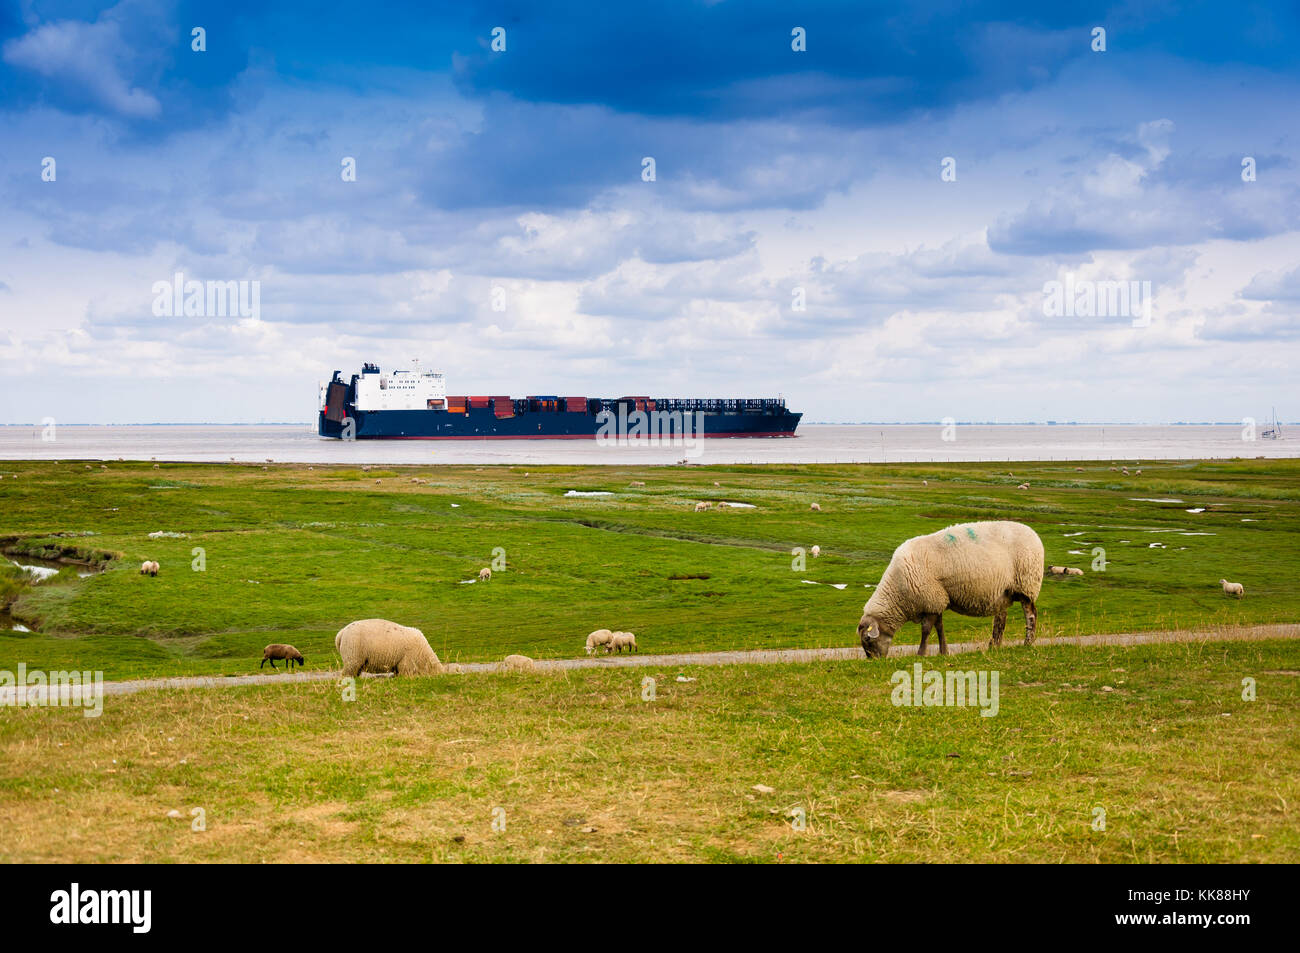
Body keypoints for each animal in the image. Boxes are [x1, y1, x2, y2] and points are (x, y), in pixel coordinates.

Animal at [852, 520, 1045, 655]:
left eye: (867, 639)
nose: (874, 660)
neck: (897, 591)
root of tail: (1034, 534)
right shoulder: (936, 600)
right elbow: (939, 627)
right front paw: (943, 652)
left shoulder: (930, 599)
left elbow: (926, 629)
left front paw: (921, 653)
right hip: (1003, 593)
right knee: (1000, 620)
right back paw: (994, 646)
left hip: (1027, 584)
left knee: (1031, 614)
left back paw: (1028, 643)